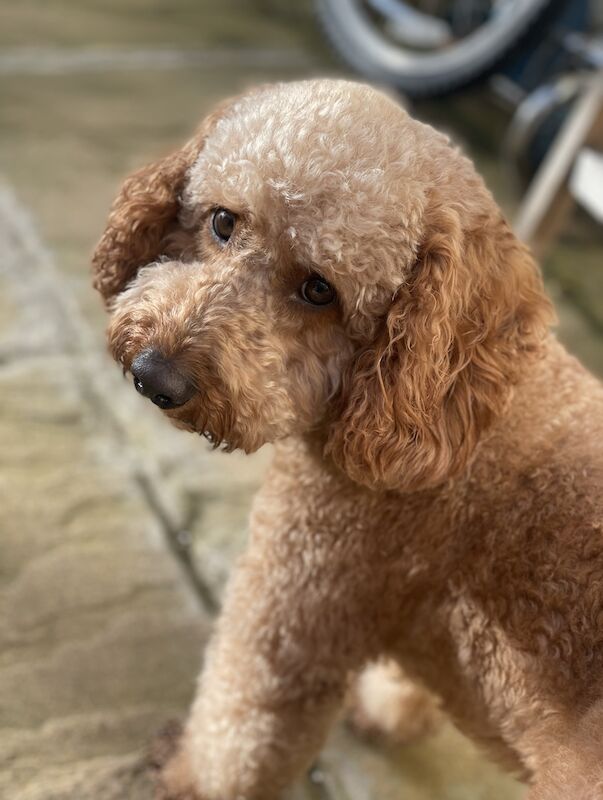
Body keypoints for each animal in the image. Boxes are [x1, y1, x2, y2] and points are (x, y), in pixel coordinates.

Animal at [92, 81, 603, 800]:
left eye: (319, 290)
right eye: (222, 222)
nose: (153, 375)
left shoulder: (299, 593)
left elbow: (236, 724)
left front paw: (186, 776)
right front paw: (394, 703)